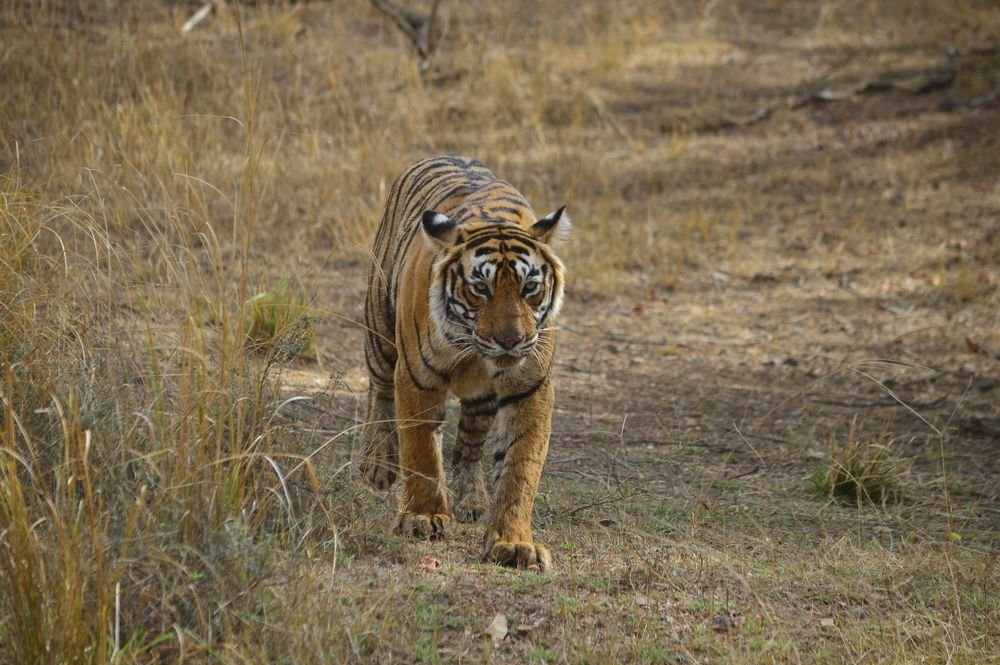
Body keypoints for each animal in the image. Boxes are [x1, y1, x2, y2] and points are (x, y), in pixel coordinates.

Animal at [359, 155, 570, 572]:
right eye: (480, 289)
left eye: (529, 288)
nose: (511, 340)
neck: (474, 350)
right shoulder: (416, 377)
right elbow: (421, 449)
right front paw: (422, 517)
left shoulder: (530, 387)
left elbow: (520, 466)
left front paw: (513, 542)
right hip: (380, 332)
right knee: (380, 392)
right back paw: (379, 464)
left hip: (482, 400)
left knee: (469, 447)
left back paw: (473, 500)